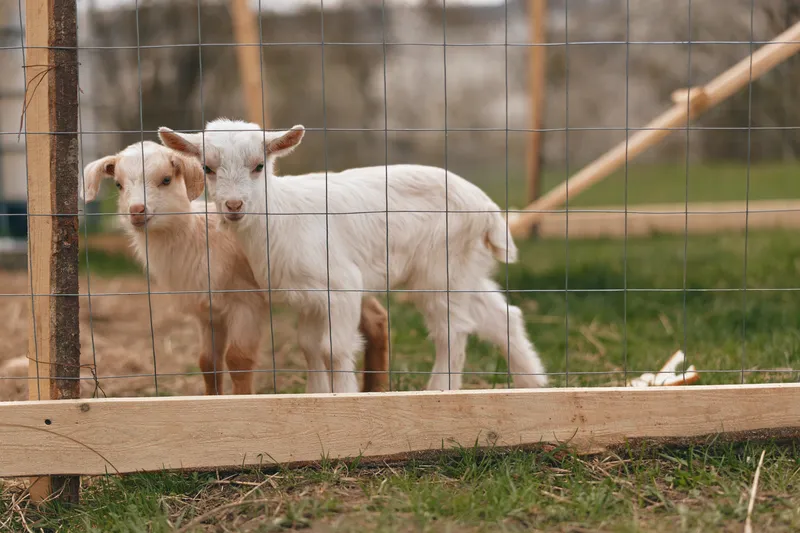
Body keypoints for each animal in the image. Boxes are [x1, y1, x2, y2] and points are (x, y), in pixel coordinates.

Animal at [82, 141, 391, 394]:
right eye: (119, 184)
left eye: (166, 180)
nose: (136, 212)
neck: (195, 234)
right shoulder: (208, 312)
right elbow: (208, 362)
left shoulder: (246, 302)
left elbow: (238, 359)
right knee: (377, 318)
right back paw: (374, 388)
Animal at [159, 119, 548, 393]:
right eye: (207, 168)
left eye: (259, 166)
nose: (234, 205)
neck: (280, 215)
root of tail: (487, 208)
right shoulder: (306, 296)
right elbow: (309, 347)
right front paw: (318, 396)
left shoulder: (343, 286)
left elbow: (333, 348)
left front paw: (344, 396)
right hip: (465, 266)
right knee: (502, 315)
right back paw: (533, 383)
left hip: (441, 268)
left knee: (452, 330)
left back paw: (441, 389)